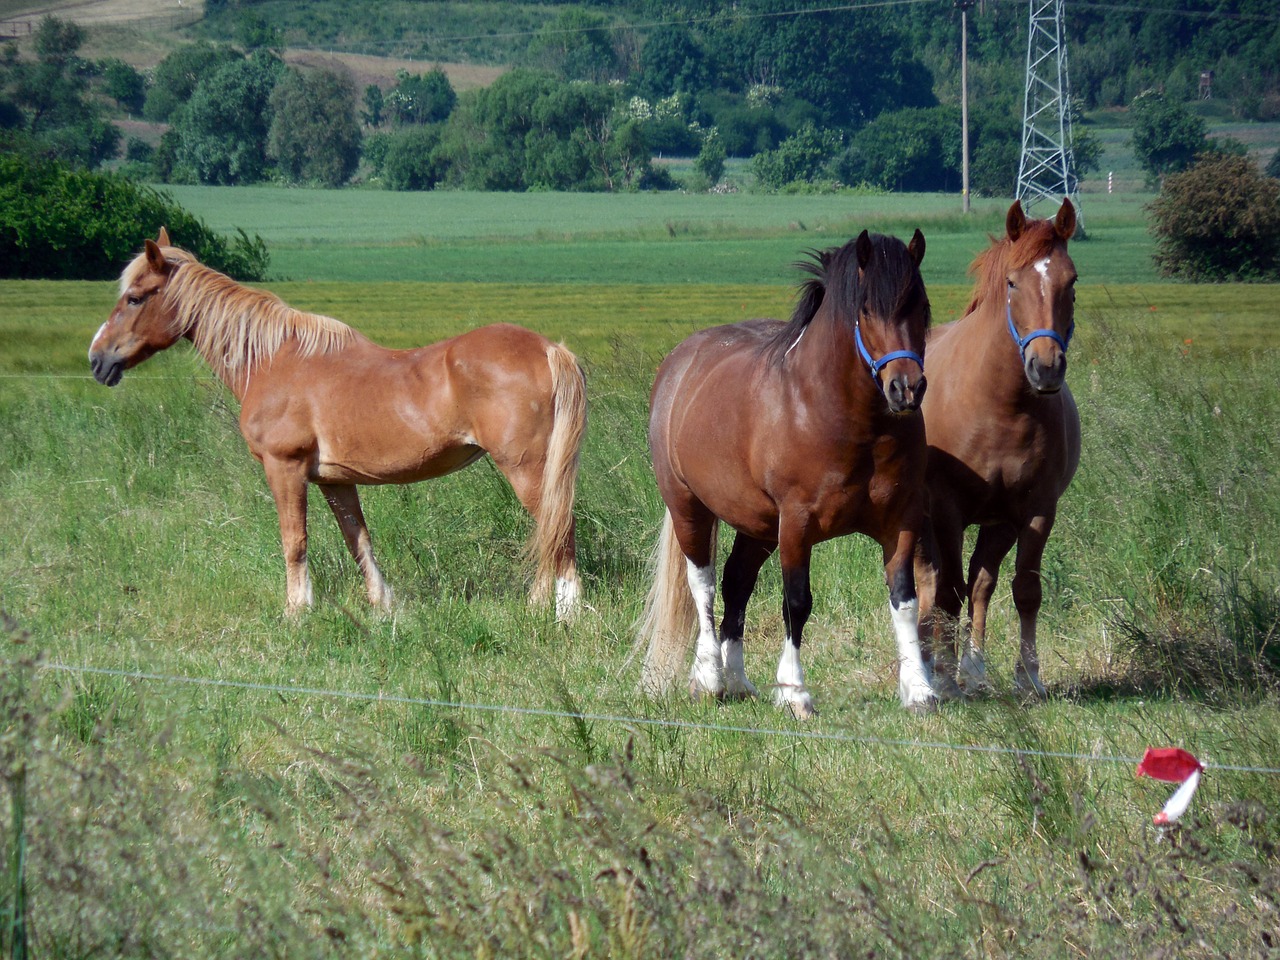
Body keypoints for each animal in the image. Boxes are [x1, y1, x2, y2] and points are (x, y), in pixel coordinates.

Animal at [88, 234, 586, 624]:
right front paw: (383, 606)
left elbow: (294, 541)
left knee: (559, 530)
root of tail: (548, 349)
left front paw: (296, 612)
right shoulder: (335, 480)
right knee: (551, 532)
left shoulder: (284, 468)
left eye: (135, 297)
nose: (97, 359)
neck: (273, 362)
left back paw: (566, 614)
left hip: (526, 468)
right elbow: (358, 540)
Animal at [640, 229, 942, 716]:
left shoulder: (901, 521)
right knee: (703, 586)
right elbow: (797, 602)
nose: (906, 388)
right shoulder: (797, 525)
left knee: (736, 583)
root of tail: (678, 364)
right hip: (690, 508)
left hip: (759, 525)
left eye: (920, 305)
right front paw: (795, 691)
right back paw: (710, 679)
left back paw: (738, 680)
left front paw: (919, 690)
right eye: (865, 309)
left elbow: (905, 600)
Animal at [916, 200, 1085, 701]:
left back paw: (974, 669)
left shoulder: (1037, 509)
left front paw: (1028, 677)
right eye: (1012, 282)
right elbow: (948, 591)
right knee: (932, 584)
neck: (1001, 405)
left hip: (998, 523)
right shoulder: (947, 509)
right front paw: (944, 677)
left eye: (1071, 281)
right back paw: (931, 665)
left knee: (981, 582)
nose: (1045, 367)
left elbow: (1024, 589)